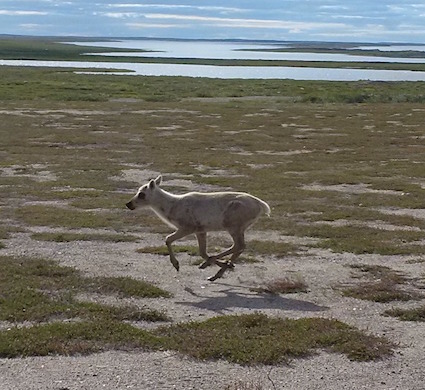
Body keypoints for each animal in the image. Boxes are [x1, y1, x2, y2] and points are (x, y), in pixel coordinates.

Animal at [126, 176, 270, 280]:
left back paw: (215, 267)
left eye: (141, 194)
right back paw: (218, 271)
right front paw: (222, 264)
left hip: (233, 225)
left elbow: (167, 239)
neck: (171, 207)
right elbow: (202, 252)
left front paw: (176, 265)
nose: (128, 204)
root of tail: (262, 205)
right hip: (239, 228)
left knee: (239, 245)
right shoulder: (201, 230)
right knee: (240, 246)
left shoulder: (188, 227)